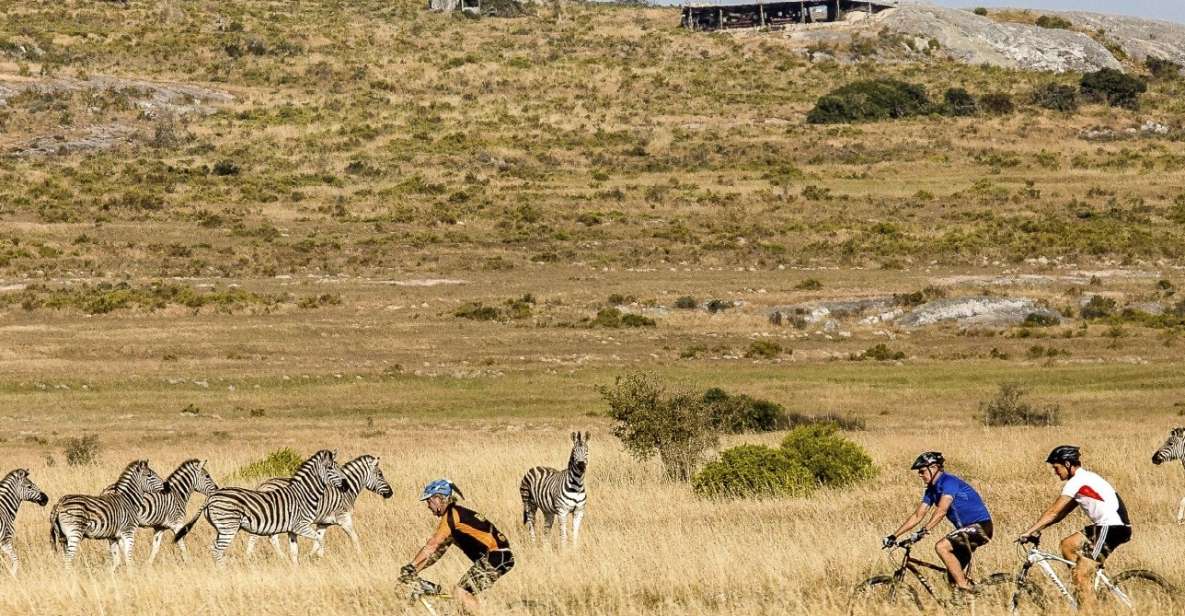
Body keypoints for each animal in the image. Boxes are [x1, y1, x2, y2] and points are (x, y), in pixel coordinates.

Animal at [173, 447, 346, 563]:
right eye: (330, 468)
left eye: (338, 467)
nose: (345, 486)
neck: (304, 494)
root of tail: (211, 497)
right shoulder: (300, 526)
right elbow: (320, 539)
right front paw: (319, 556)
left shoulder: (292, 530)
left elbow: (294, 552)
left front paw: (296, 569)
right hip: (229, 527)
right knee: (217, 550)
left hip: (221, 528)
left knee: (213, 548)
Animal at [244, 452, 393, 559]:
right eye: (380, 474)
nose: (391, 493)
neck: (347, 491)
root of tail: (263, 485)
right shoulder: (344, 518)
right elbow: (354, 537)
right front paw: (360, 555)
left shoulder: (324, 522)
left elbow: (318, 539)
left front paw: (313, 556)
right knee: (255, 537)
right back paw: (249, 557)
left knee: (272, 538)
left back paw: (282, 558)